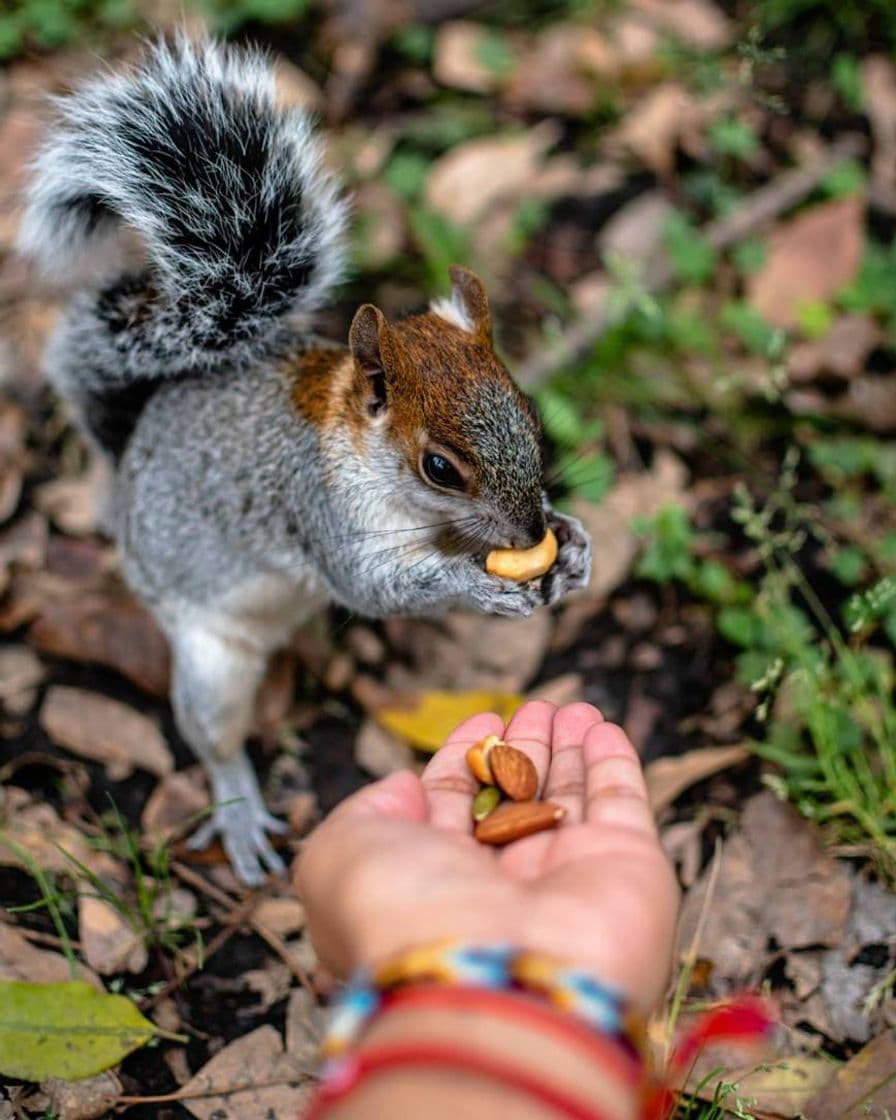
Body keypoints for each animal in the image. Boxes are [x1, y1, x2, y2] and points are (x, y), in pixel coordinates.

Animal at [17, 39, 591, 882]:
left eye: (531, 417)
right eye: (440, 467)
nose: (527, 534)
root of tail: (129, 455)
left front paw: (573, 544)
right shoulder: (318, 507)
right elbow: (370, 584)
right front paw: (476, 587)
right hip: (207, 648)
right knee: (215, 736)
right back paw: (242, 814)